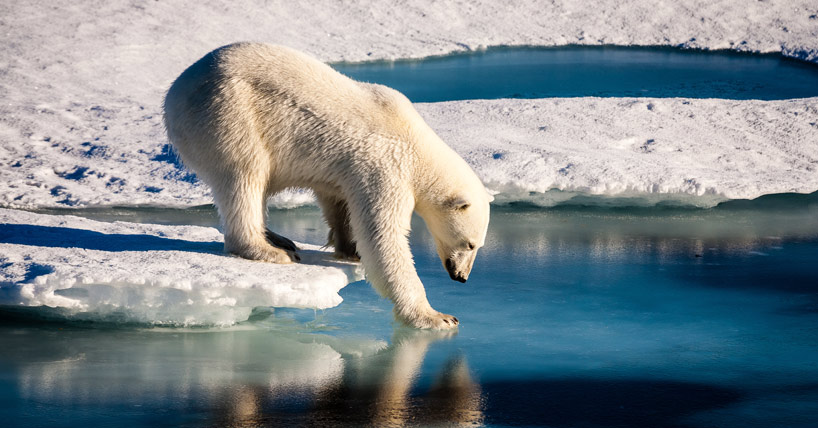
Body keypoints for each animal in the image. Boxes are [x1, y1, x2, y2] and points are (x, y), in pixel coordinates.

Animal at [163, 43, 488, 330]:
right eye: (469, 244)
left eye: (478, 245)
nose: (461, 277)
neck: (416, 145)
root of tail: (175, 91)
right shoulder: (386, 168)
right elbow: (384, 237)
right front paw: (437, 317)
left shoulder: (347, 170)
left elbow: (338, 201)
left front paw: (349, 249)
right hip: (229, 114)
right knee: (245, 175)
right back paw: (269, 250)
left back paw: (279, 238)